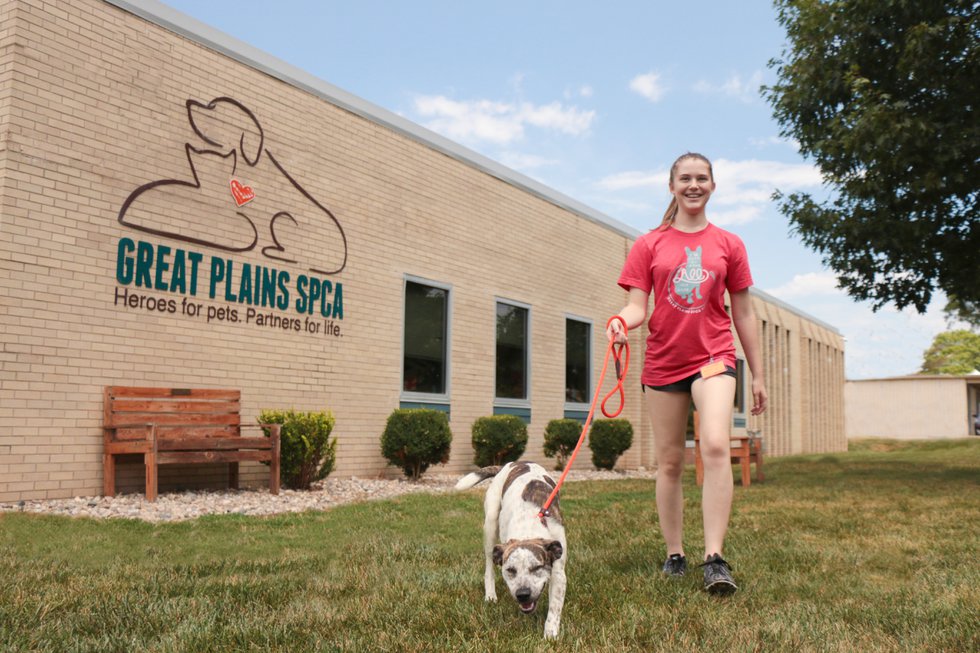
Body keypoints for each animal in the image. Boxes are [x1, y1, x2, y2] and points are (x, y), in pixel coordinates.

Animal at [454, 460, 568, 640]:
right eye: (510, 570)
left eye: (537, 567)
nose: (523, 594)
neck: (528, 529)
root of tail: (513, 462)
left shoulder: (558, 571)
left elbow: (555, 606)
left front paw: (550, 634)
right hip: (490, 523)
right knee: (489, 564)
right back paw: (490, 594)